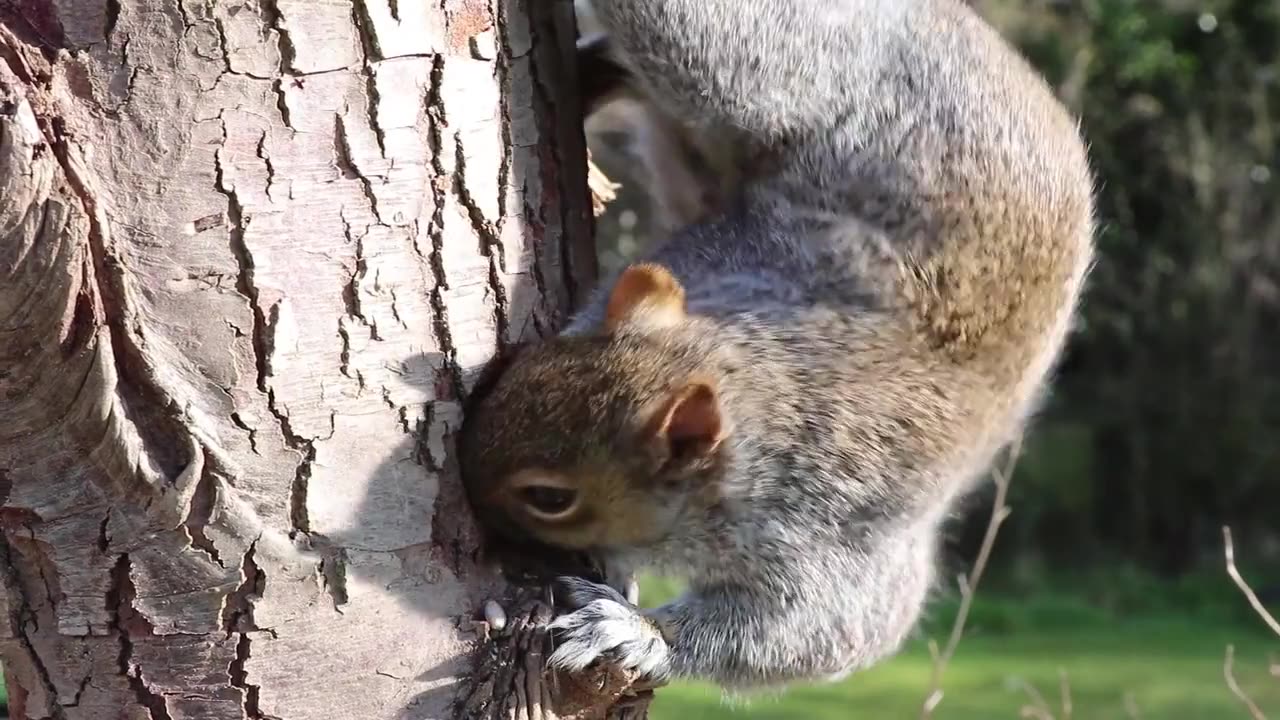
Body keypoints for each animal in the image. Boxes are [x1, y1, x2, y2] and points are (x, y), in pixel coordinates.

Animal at [458, 0, 1090, 686]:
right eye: (521, 368)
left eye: (551, 498)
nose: (464, 489)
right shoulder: (718, 260)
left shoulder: (828, 535)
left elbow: (818, 634)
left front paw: (636, 632)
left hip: (760, 74)